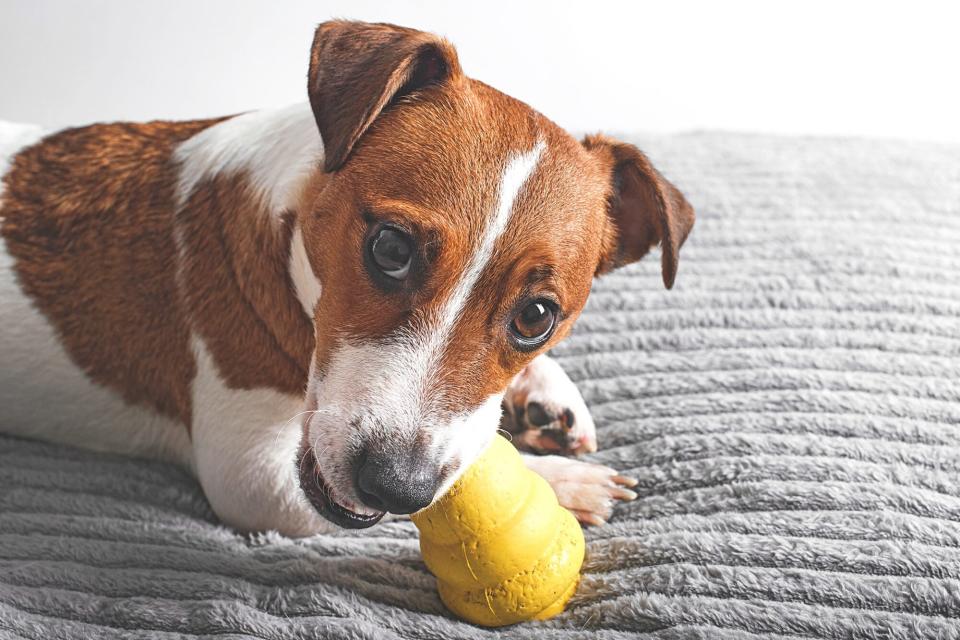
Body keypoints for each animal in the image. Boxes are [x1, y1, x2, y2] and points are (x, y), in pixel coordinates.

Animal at [0, 21, 692, 536]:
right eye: (390, 248)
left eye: (537, 316)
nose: (394, 485)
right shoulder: (253, 478)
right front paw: (556, 484)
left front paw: (544, 393)